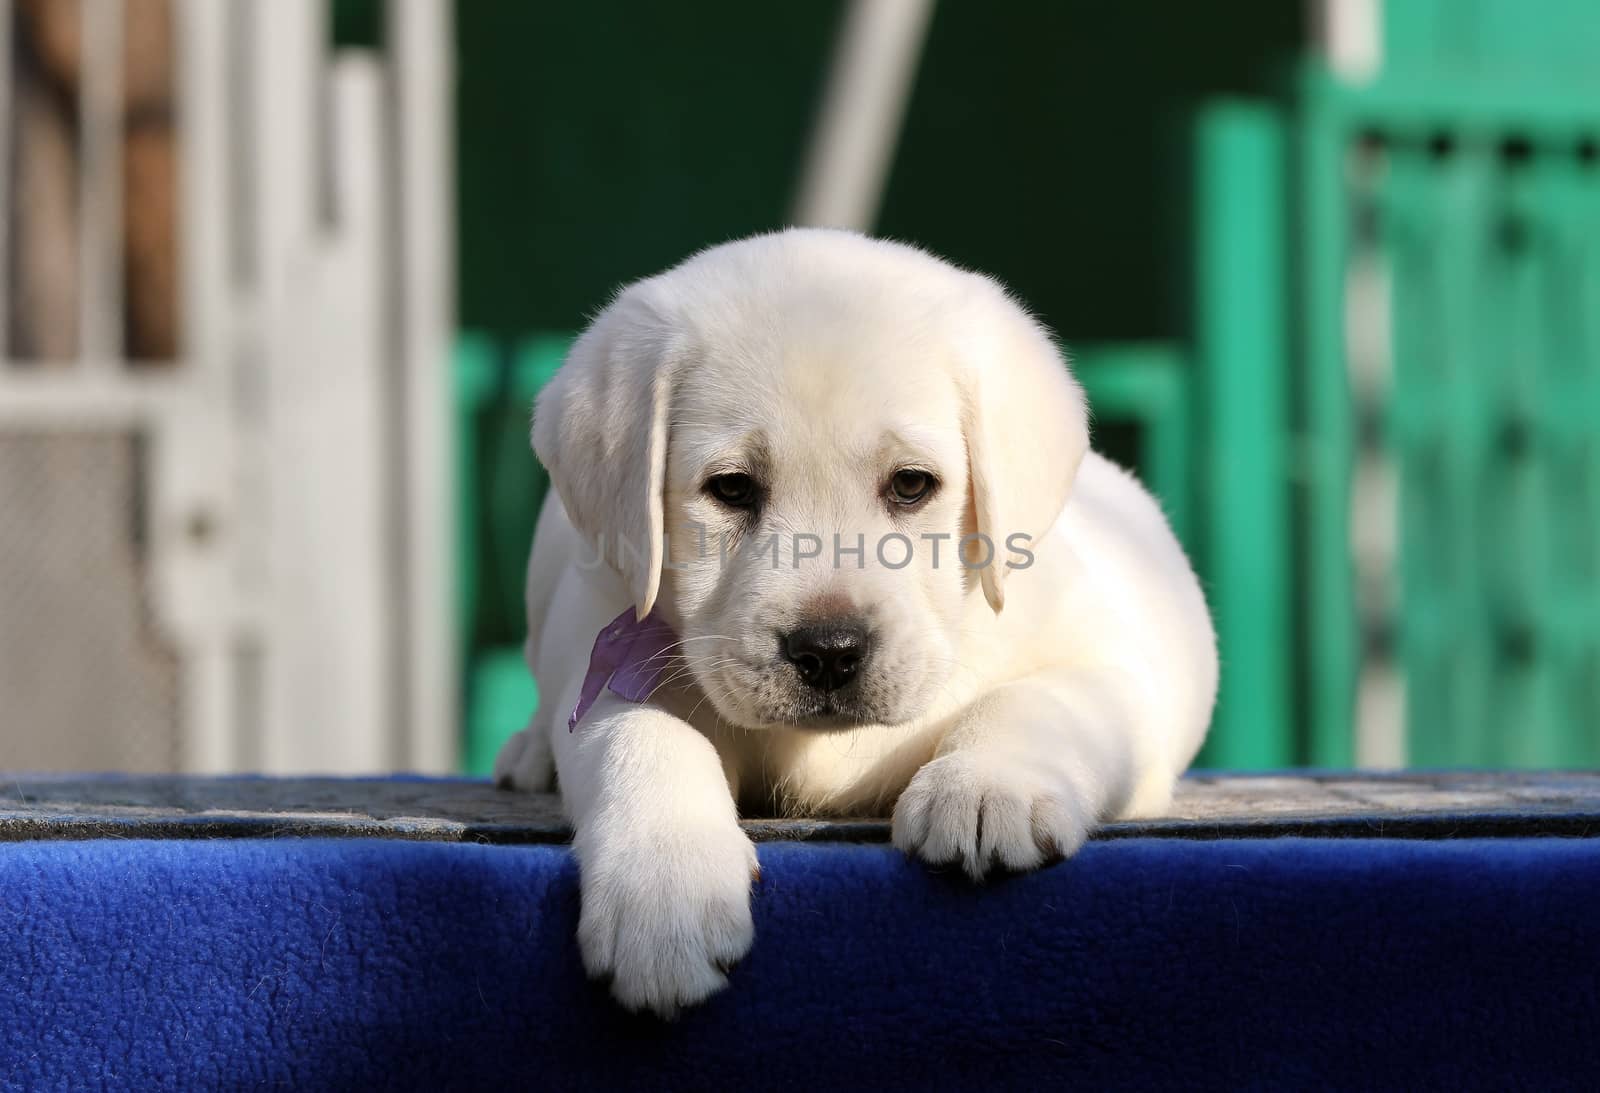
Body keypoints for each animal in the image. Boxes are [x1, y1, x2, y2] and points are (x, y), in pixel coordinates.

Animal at [492, 228, 1216, 1017]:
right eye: (731, 489)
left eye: (911, 485)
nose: (829, 652)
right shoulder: (611, 661)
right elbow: (642, 736)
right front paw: (662, 887)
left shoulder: (1113, 673)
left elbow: (1034, 700)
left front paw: (984, 787)